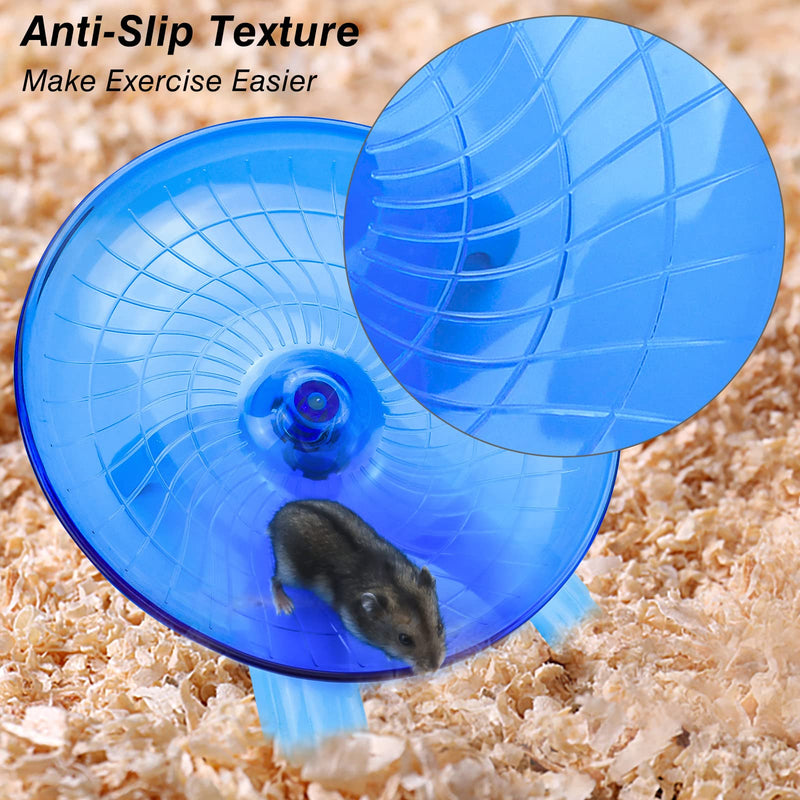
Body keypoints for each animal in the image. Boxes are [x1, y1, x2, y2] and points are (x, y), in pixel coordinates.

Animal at [268, 499, 446, 673]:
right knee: (274, 579)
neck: (390, 582)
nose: (435, 668)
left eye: (439, 627)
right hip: (290, 572)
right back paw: (286, 606)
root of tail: (275, 519)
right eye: (404, 639)